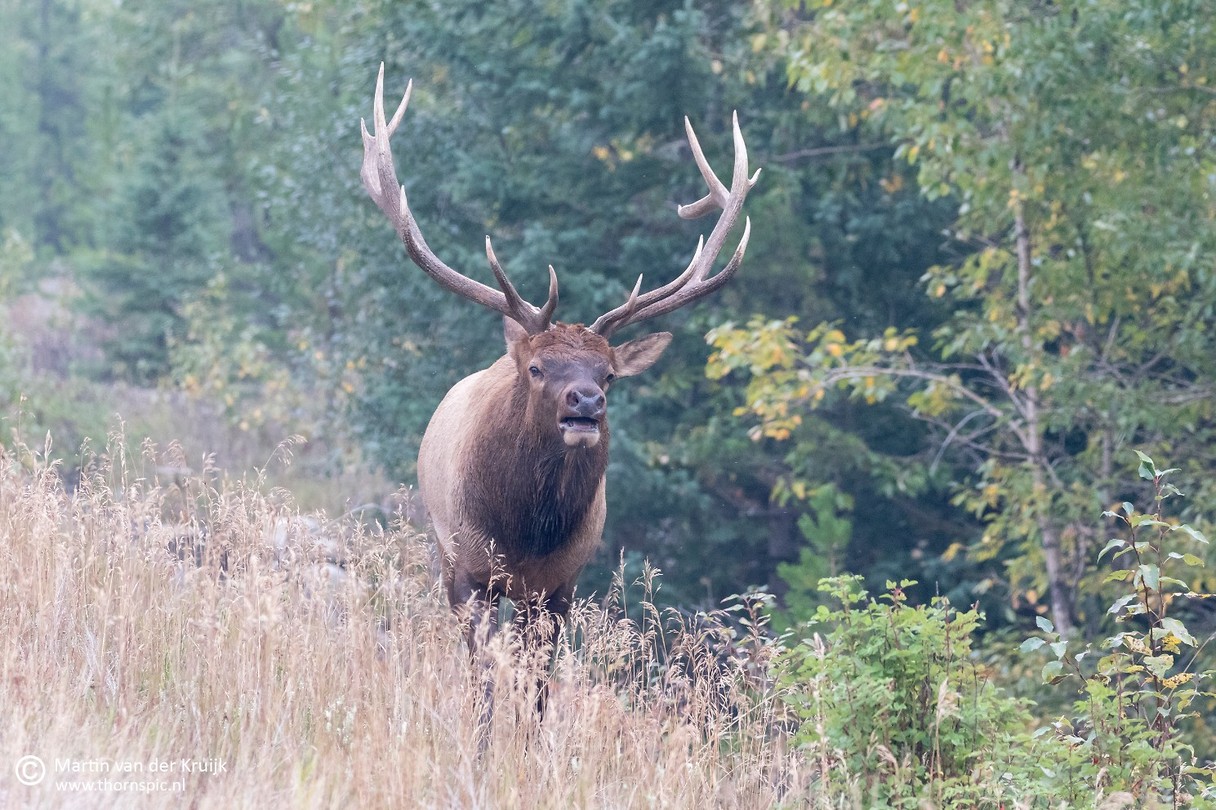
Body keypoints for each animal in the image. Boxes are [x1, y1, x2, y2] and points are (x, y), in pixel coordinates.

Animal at [359, 64, 759, 711]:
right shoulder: (469, 568)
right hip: (445, 553)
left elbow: (540, 686)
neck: (525, 532)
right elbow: (484, 677)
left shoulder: (558, 586)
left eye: (609, 373)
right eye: (538, 369)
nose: (586, 402)